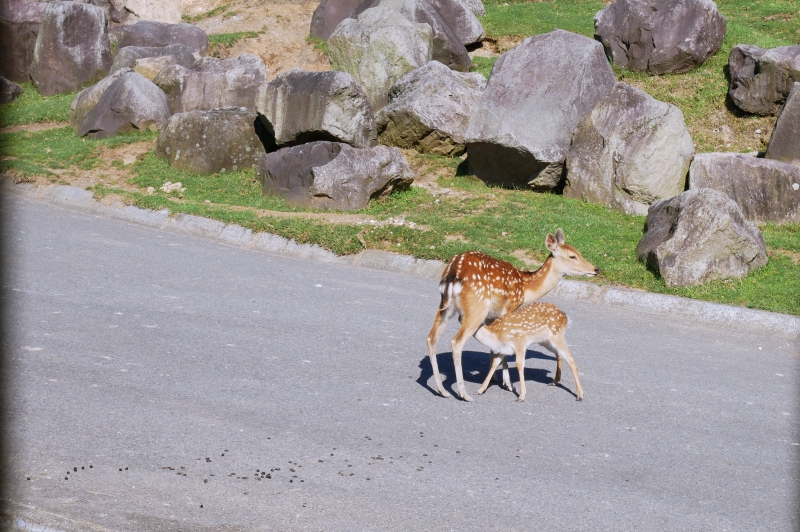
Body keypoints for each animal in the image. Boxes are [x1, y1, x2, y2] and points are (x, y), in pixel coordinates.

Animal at [428, 229, 596, 400]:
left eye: (579, 252)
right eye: (572, 256)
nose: (596, 269)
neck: (525, 288)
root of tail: (453, 273)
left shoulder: (491, 316)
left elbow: (494, 346)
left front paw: (494, 378)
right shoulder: (509, 308)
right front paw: (508, 384)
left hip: (445, 306)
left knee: (431, 337)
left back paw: (441, 390)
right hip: (477, 306)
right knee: (456, 342)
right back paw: (463, 394)